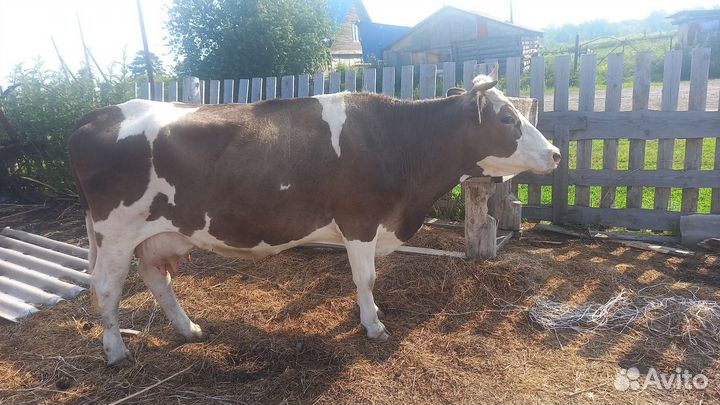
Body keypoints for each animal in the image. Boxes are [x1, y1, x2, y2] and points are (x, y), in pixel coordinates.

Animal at [69, 69, 560, 365]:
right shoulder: (359, 220)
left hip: (155, 232)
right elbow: (366, 277)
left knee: (156, 278)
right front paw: (373, 325)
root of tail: (98, 114)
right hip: (116, 231)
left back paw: (187, 329)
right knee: (107, 287)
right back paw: (115, 350)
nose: (556, 153)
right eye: (506, 117)